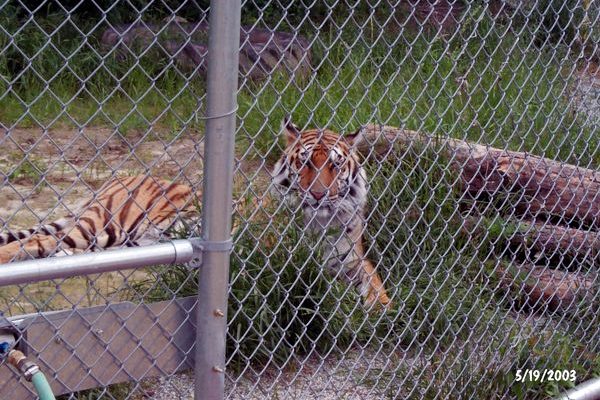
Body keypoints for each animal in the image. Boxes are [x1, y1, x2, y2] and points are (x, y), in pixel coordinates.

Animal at [274, 115, 394, 310]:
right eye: (305, 162)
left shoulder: (353, 261)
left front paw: (384, 308)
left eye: (336, 164)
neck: (320, 222)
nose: (318, 194)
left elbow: (374, 283)